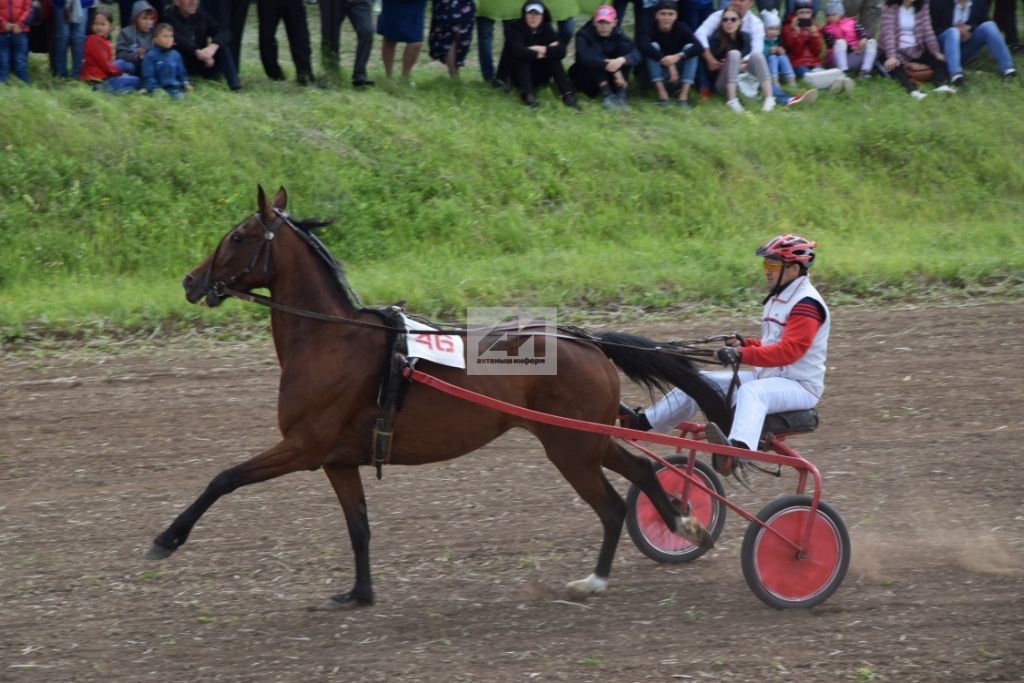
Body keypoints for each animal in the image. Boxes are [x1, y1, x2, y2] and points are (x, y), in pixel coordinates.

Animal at [148, 185, 733, 610]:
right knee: (641, 472)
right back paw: (682, 523)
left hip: (570, 448)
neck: (330, 338)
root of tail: (586, 340)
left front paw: (166, 539)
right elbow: (359, 527)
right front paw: (358, 594)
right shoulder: (338, 460)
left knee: (612, 505)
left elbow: (224, 478)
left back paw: (596, 580)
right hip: (583, 439)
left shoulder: (304, 446)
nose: (190, 280)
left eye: (239, 235)